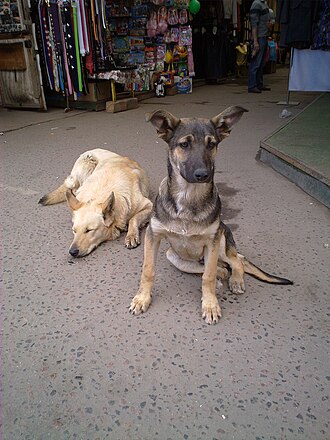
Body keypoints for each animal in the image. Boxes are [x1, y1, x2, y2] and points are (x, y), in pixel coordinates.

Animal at [130, 107, 292, 324]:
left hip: (222, 245)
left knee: (236, 261)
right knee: (220, 268)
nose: (203, 175)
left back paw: (235, 280)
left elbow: (207, 277)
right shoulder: (153, 235)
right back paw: (222, 277)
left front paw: (210, 305)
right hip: (173, 255)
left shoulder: (212, 241)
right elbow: (148, 270)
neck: (188, 196)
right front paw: (142, 299)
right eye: (184, 144)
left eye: (212, 144)